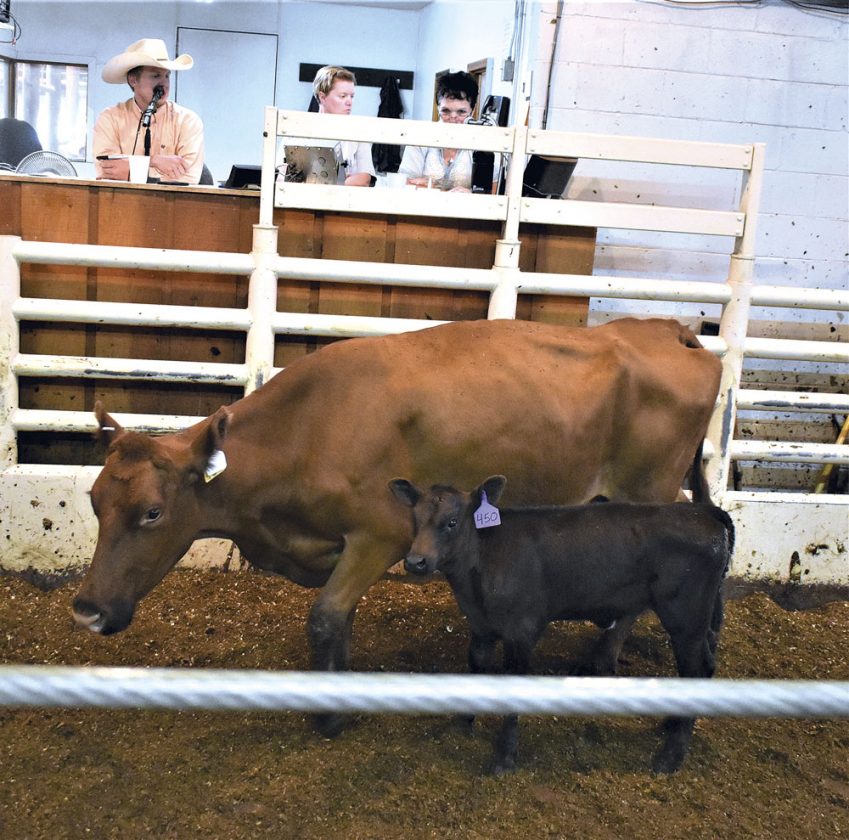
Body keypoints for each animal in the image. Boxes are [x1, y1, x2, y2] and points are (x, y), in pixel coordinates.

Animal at [72, 317, 721, 737]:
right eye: (95, 501)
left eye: (152, 512)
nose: (87, 609)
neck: (306, 427)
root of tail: (667, 328)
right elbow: (341, 621)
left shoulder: (379, 536)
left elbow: (325, 618)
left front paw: (330, 715)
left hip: (647, 490)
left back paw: (601, 658)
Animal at [389, 444, 734, 775]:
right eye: (415, 520)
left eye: (451, 522)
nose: (415, 561)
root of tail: (704, 513)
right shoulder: (481, 627)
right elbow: (475, 669)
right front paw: (461, 725)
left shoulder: (523, 630)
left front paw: (504, 758)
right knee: (704, 665)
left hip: (686, 616)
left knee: (697, 668)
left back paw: (670, 758)